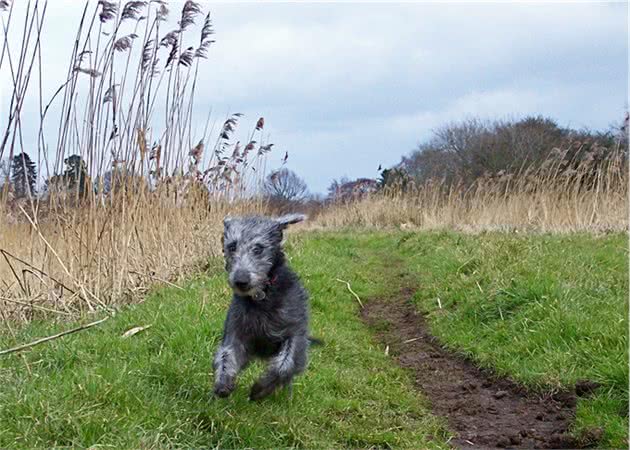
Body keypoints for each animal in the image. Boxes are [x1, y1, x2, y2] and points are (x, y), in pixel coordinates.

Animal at [214, 214, 320, 400]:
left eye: (258, 248)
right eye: (232, 246)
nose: (241, 281)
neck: (262, 296)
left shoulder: (295, 334)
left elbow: (285, 365)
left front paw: (261, 389)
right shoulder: (237, 333)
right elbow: (227, 354)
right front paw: (224, 381)